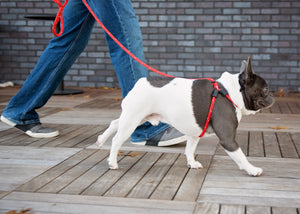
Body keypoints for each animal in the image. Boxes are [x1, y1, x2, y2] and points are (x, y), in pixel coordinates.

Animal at [96, 57, 274, 176]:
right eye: (265, 89)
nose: (272, 96)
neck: (229, 92)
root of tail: (139, 83)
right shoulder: (228, 139)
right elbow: (241, 156)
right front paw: (252, 169)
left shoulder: (195, 133)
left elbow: (190, 149)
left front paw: (192, 163)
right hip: (132, 120)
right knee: (117, 140)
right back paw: (112, 162)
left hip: (136, 117)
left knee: (114, 123)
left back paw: (100, 140)